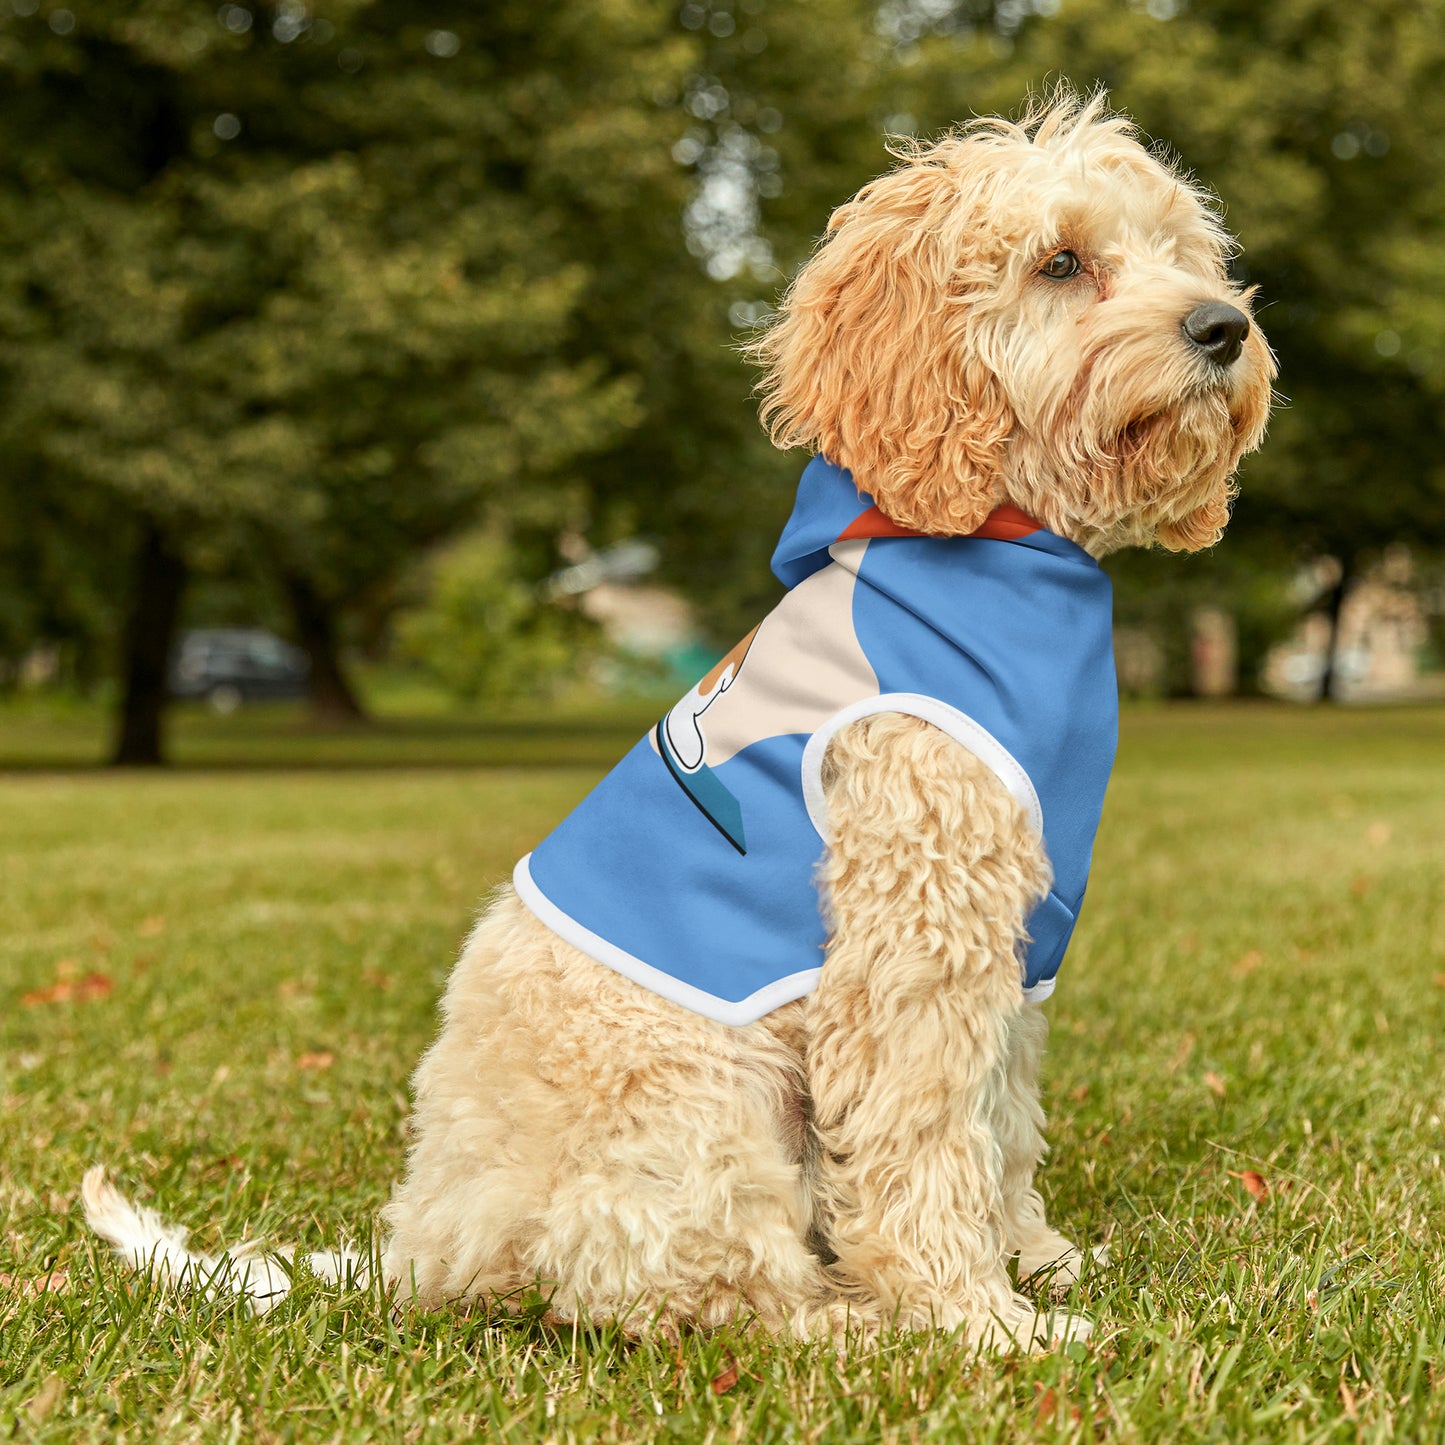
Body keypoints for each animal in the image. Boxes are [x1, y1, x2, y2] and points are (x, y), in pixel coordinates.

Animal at [84, 93, 1271, 1352]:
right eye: (1059, 262)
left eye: (1181, 252)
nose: (1222, 327)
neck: (997, 543)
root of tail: (424, 1245)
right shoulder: (912, 935)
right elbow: (924, 1137)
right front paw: (975, 1318)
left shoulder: (1012, 939)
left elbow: (999, 1120)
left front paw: (1034, 1259)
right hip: (703, 1101)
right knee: (700, 1291)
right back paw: (852, 1322)